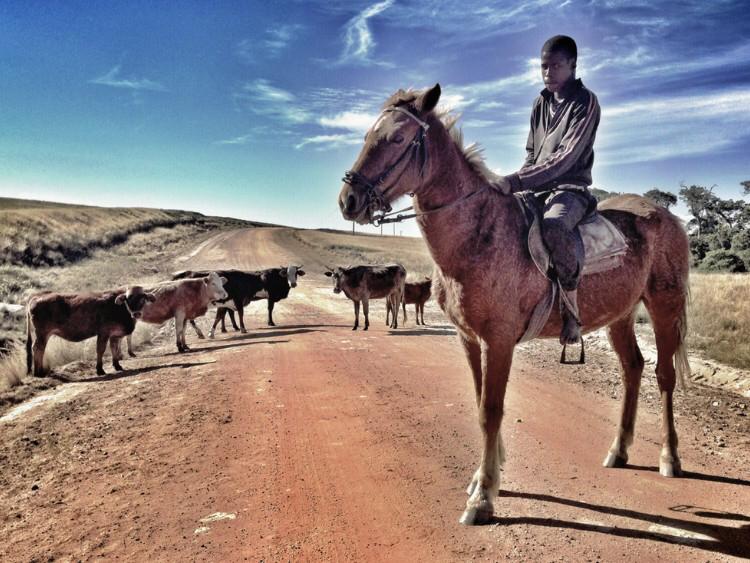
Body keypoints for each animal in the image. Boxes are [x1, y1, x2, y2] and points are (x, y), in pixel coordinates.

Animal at [26, 288, 156, 376]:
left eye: (143, 298)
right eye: (128, 299)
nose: (136, 313)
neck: (118, 308)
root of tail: (36, 298)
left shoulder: (114, 335)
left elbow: (114, 348)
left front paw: (117, 365)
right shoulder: (103, 333)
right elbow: (100, 350)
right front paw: (100, 370)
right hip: (42, 333)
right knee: (37, 348)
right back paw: (38, 372)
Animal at [173, 266, 306, 340]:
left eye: (296, 273)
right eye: (287, 273)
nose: (293, 284)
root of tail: (188, 273)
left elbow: (221, 315)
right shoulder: (269, 297)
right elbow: (268, 309)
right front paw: (270, 323)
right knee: (191, 319)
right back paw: (200, 333)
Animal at [338, 85, 692, 528]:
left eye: (398, 138)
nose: (348, 200)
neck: (477, 234)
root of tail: (669, 218)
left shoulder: (499, 341)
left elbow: (491, 409)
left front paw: (483, 497)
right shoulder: (469, 339)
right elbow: (479, 404)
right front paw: (484, 477)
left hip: (664, 307)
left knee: (664, 376)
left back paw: (669, 457)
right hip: (621, 315)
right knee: (633, 368)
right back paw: (618, 450)